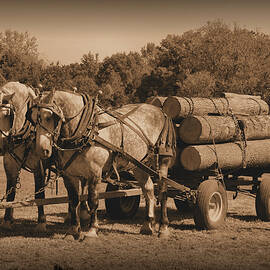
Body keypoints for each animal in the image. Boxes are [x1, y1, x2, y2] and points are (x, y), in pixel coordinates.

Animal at [28, 90, 176, 240]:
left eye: (49, 117)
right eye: (33, 118)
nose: (42, 150)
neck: (86, 131)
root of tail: (161, 111)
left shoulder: (95, 173)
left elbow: (93, 200)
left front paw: (92, 230)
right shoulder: (69, 175)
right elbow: (74, 201)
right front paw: (73, 231)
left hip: (163, 160)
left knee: (162, 191)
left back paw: (163, 227)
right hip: (139, 165)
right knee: (149, 190)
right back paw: (147, 224)